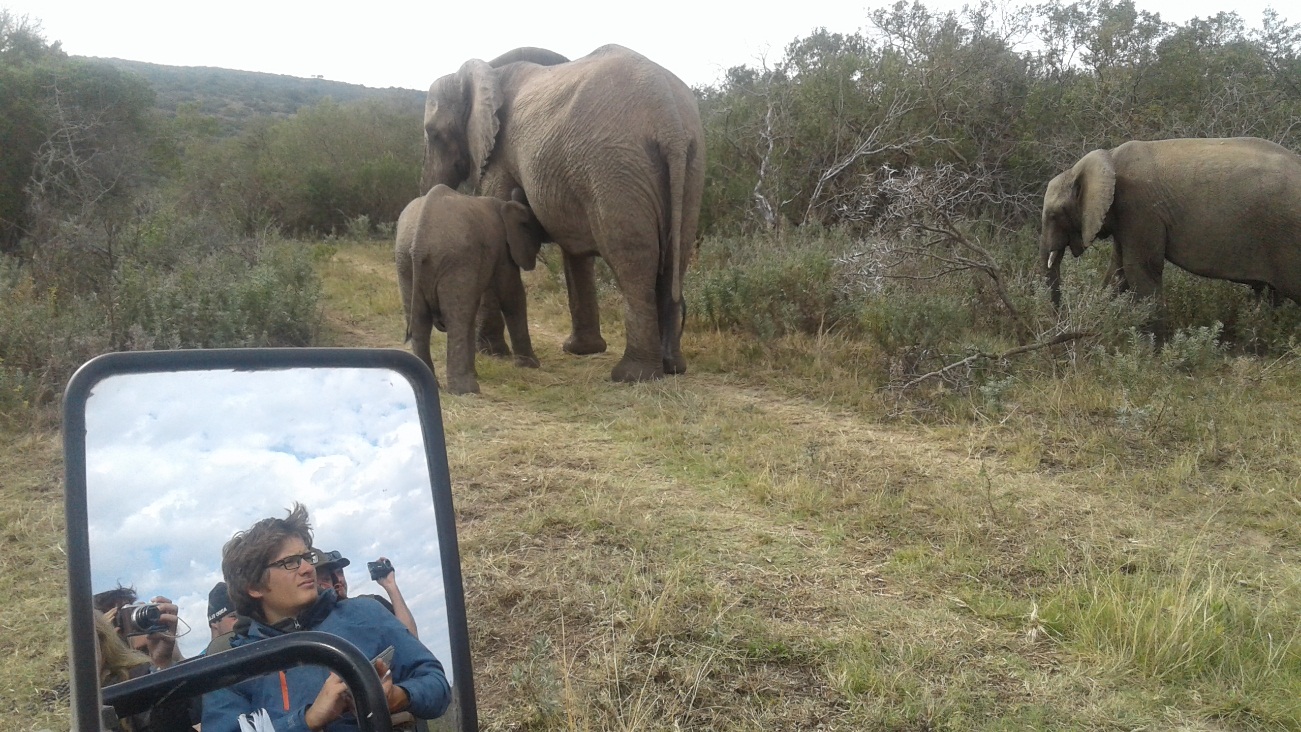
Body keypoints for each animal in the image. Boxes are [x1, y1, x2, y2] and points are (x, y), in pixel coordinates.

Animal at [390, 184, 543, 395]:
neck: (505, 206)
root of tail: (419, 241)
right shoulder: (503, 248)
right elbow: (511, 295)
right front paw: (532, 365)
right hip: (455, 259)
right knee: (458, 319)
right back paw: (467, 390)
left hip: (405, 260)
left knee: (422, 321)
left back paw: (434, 385)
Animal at [421, 43, 707, 384]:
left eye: (433, 133)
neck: (487, 69)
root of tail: (670, 121)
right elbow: (575, 248)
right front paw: (581, 351)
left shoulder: (500, 156)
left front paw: (490, 352)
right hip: (688, 167)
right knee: (677, 255)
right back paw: (673, 368)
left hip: (614, 166)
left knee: (633, 258)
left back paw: (632, 375)